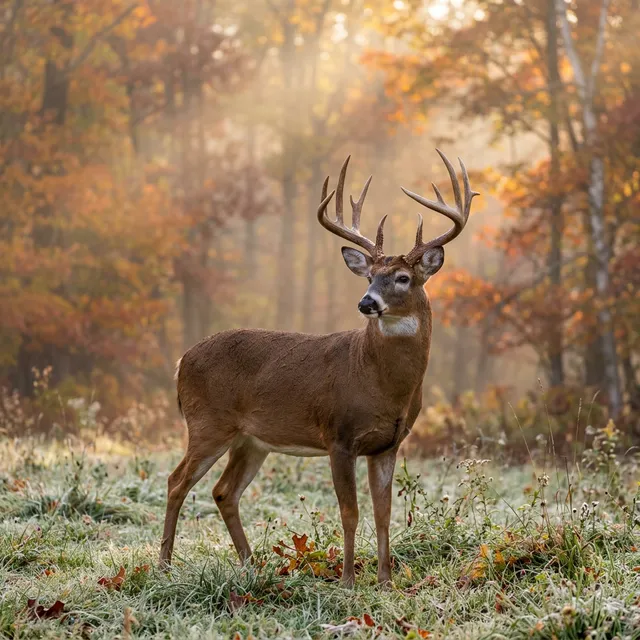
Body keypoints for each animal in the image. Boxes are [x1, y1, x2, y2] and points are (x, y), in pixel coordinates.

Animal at [160, 149, 478, 586]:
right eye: (369, 276)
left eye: (402, 277)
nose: (366, 303)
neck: (381, 384)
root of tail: (181, 362)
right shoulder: (338, 435)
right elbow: (350, 513)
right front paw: (347, 581)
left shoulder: (389, 444)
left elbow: (384, 514)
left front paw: (386, 580)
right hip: (208, 422)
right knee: (177, 481)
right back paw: (164, 565)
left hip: (251, 439)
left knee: (224, 491)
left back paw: (251, 565)